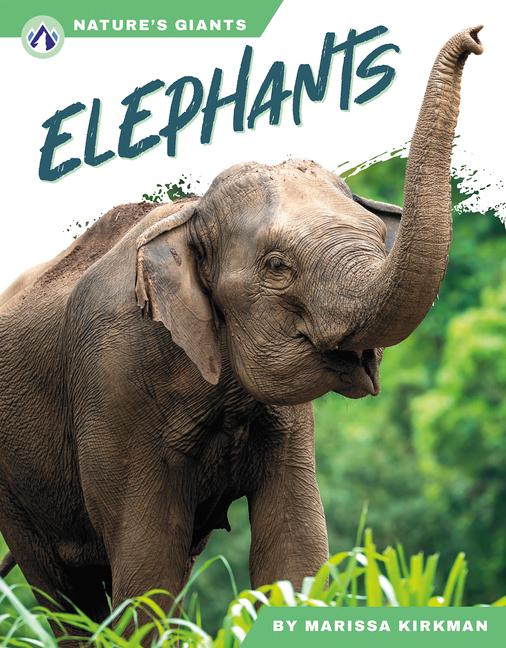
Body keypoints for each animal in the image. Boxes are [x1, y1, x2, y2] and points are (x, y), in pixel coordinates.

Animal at [0, 27, 482, 639]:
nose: (476, 36)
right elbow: (147, 569)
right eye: (276, 266)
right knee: (63, 590)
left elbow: (294, 549)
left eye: (378, 236)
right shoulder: (114, 383)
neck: (189, 213)